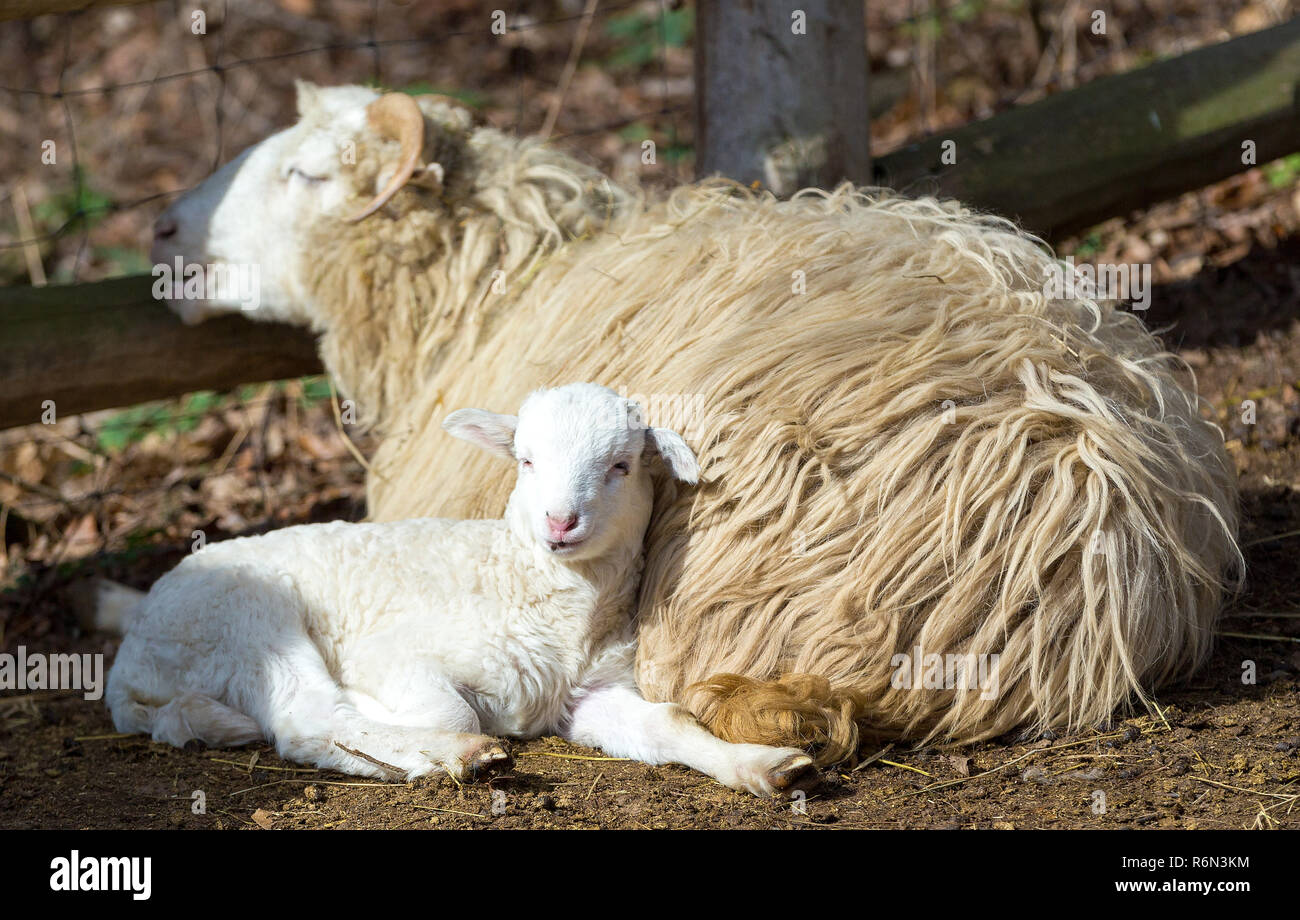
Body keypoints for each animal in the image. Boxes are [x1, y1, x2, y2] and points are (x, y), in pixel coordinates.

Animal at [103, 383, 818, 795]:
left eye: (621, 465)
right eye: (525, 460)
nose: (560, 521)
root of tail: (128, 663)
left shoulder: (589, 693)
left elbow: (666, 721)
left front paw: (762, 765)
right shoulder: (394, 654)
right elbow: (449, 709)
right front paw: (440, 734)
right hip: (245, 621)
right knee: (308, 720)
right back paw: (457, 756)